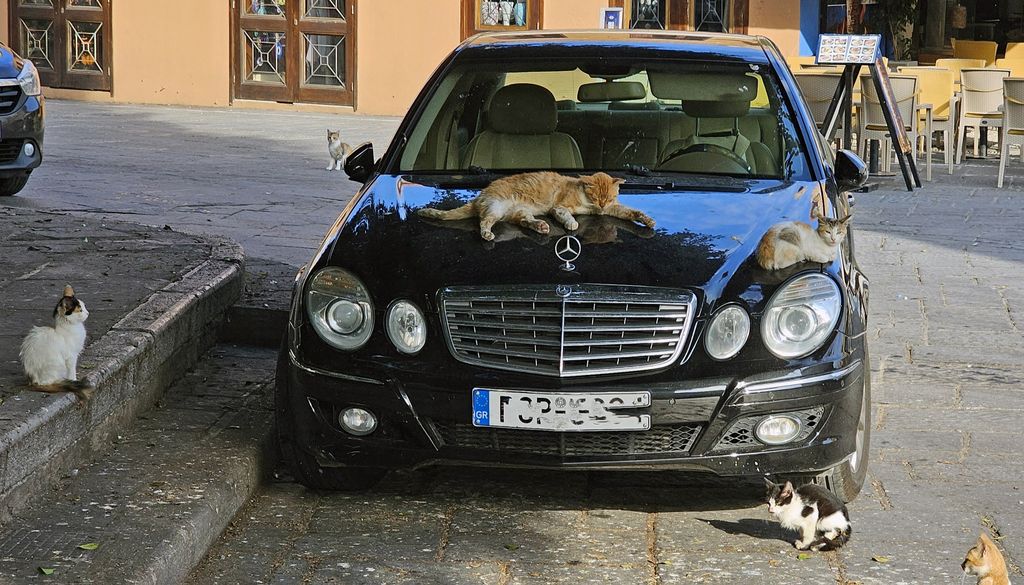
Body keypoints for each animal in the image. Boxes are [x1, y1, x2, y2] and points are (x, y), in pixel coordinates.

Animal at [411, 170, 651, 241]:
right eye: (597, 197)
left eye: (608, 198)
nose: (601, 206)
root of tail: (480, 196)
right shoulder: (560, 207)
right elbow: (567, 216)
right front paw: (572, 224)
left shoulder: (613, 209)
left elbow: (630, 212)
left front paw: (646, 219)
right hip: (496, 208)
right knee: (484, 221)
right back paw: (487, 234)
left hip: (519, 212)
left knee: (525, 222)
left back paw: (541, 226)